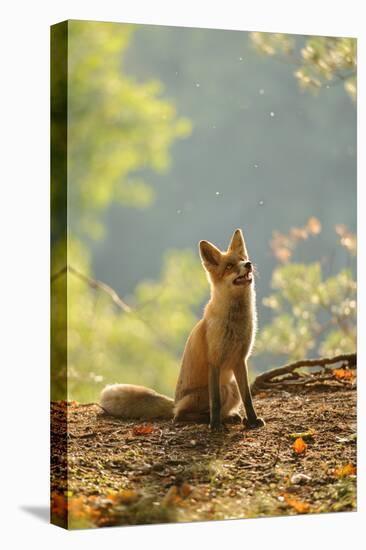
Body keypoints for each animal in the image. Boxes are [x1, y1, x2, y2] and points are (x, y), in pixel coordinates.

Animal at [101, 229, 264, 432]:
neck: (234, 322)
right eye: (229, 266)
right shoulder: (214, 360)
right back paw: (208, 419)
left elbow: (248, 398)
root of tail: (175, 402)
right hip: (222, 389)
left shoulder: (240, 360)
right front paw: (215, 426)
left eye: (243, 259)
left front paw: (252, 421)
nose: (248, 265)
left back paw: (229, 417)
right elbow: (216, 402)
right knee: (179, 416)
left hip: (231, 386)